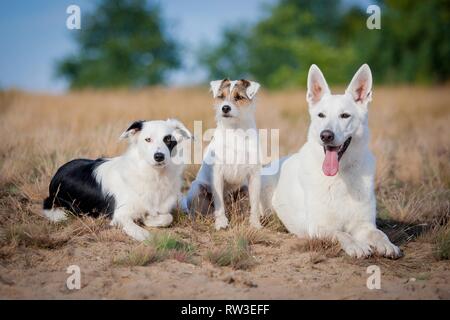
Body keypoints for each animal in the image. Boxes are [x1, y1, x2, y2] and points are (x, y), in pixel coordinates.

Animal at [40, 119, 192, 240]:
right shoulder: (119, 214)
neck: (153, 174)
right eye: (148, 139)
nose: (159, 156)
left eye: (168, 140)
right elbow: (137, 229)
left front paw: (148, 219)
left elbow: (167, 217)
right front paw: (143, 232)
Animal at [181, 79, 262, 230]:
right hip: (197, 187)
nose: (225, 108)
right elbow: (219, 204)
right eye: (221, 96)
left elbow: (254, 204)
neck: (235, 130)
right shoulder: (217, 174)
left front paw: (255, 224)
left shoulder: (254, 175)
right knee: (199, 211)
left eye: (239, 97)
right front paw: (221, 223)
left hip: (244, 189)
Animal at [262, 64, 402, 258]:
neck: (340, 176)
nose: (326, 135)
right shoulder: (319, 227)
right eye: (321, 115)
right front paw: (356, 245)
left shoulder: (364, 225)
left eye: (345, 115)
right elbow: (341, 233)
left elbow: (379, 233)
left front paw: (387, 244)